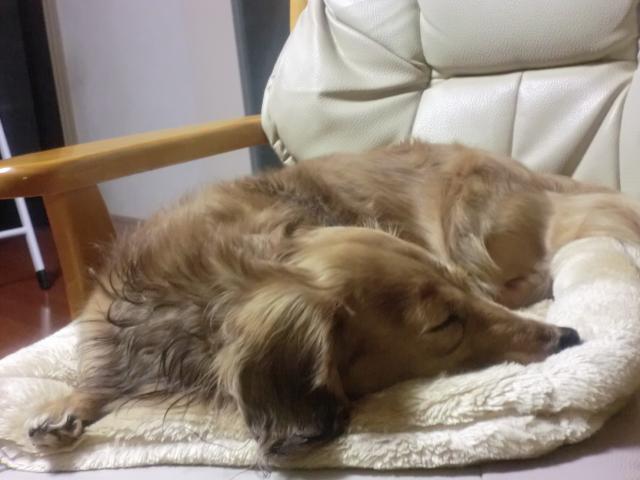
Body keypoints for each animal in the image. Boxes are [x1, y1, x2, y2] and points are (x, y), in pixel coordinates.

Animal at [26, 141, 640, 459]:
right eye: (444, 323)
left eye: (453, 304)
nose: (567, 336)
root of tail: (542, 179)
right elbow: (98, 382)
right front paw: (67, 405)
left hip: (467, 218)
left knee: (536, 274)